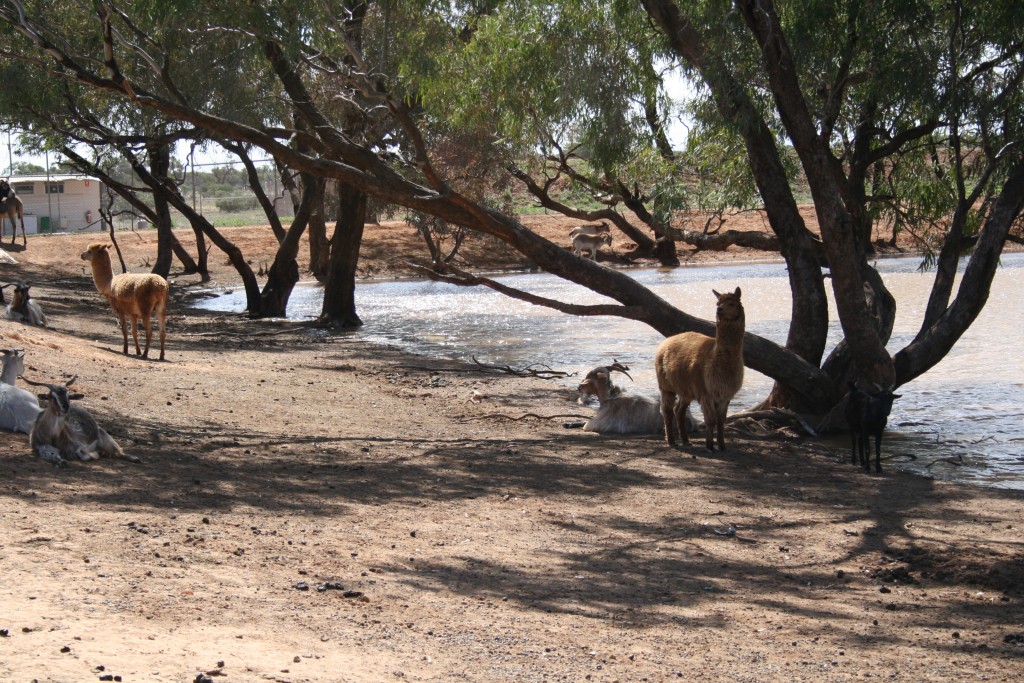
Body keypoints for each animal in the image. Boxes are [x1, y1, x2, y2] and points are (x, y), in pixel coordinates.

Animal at [654, 287, 745, 451]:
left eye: (732, 303)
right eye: (718, 303)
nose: (719, 310)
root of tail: (666, 342)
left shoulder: (725, 394)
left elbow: (721, 420)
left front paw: (722, 445)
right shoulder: (706, 392)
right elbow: (710, 419)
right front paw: (710, 446)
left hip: (685, 388)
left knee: (679, 410)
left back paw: (686, 441)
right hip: (665, 384)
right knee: (667, 411)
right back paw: (671, 441)